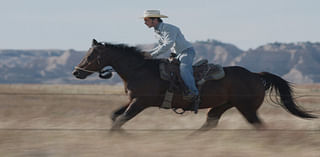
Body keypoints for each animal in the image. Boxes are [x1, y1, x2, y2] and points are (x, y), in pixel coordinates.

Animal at [72, 39, 316, 130]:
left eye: (91, 55)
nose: (76, 72)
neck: (139, 70)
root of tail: (255, 75)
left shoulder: (141, 102)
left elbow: (120, 120)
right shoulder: (134, 100)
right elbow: (115, 117)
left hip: (247, 108)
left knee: (258, 126)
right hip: (224, 105)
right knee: (211, 122)